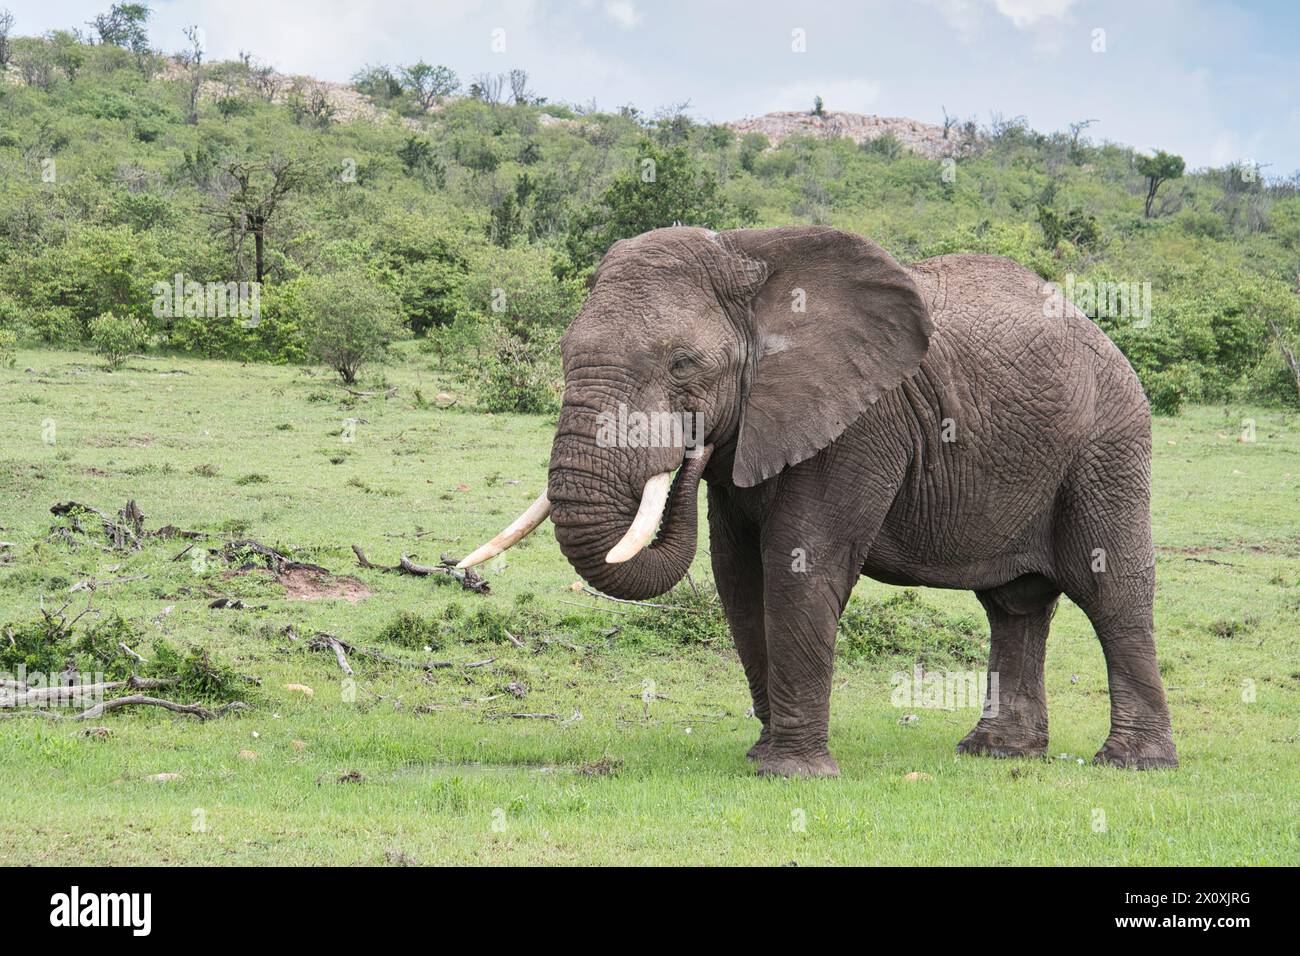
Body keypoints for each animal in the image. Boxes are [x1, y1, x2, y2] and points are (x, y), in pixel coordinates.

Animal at [458, 225, 1178, 778]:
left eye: (683, 364)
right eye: (563, 351)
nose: (689, 450)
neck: (751, 260)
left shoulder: (861, 421)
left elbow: (800, 561)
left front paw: (790, 773)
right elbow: (739, 576)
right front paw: (762, 756)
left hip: (1107, 443)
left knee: (1109, 585)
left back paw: (1133, 764)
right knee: (1013, 604)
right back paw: (995, 753)